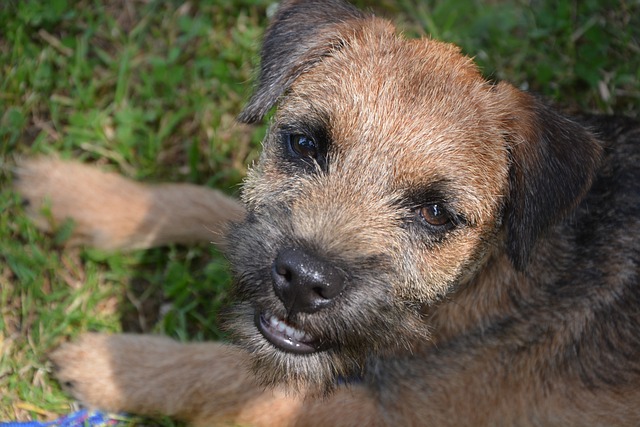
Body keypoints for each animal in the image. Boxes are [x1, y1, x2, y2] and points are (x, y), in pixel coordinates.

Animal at [13, 0, 640, 426]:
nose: (303, 281)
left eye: (437, 213)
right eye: (305, 144)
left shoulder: (384, 413)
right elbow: (210, 202)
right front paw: (82, 194)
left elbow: (229, 377)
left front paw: (113, 362)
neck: (487, 283)